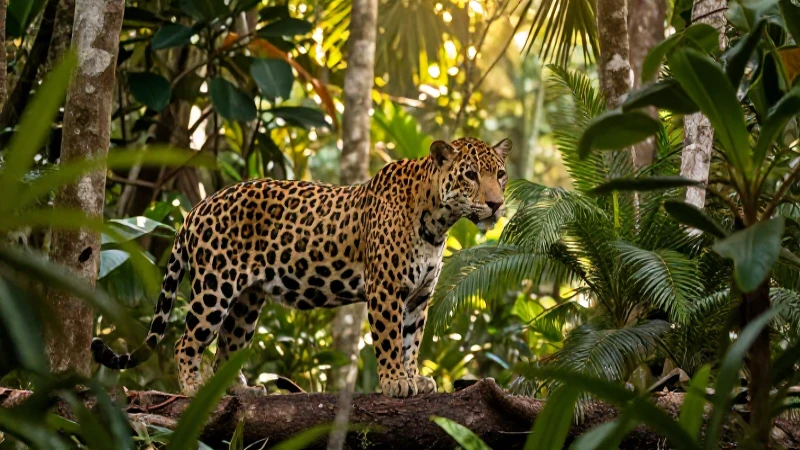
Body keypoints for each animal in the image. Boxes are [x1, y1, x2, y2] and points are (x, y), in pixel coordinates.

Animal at [91, 137, 511, 398]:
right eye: (470, 175)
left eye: (500, 175)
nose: (495, 204)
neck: (438, 223)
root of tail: (196, 208)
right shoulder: (386, 291)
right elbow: (391, 341)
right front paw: (394, 382)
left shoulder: (419, 297)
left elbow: (410, 342)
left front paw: (414, 379)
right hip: (214, 288)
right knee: (187, 341)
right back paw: (193, 389)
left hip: (247, 301)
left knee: (227, 346)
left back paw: (238, 389)